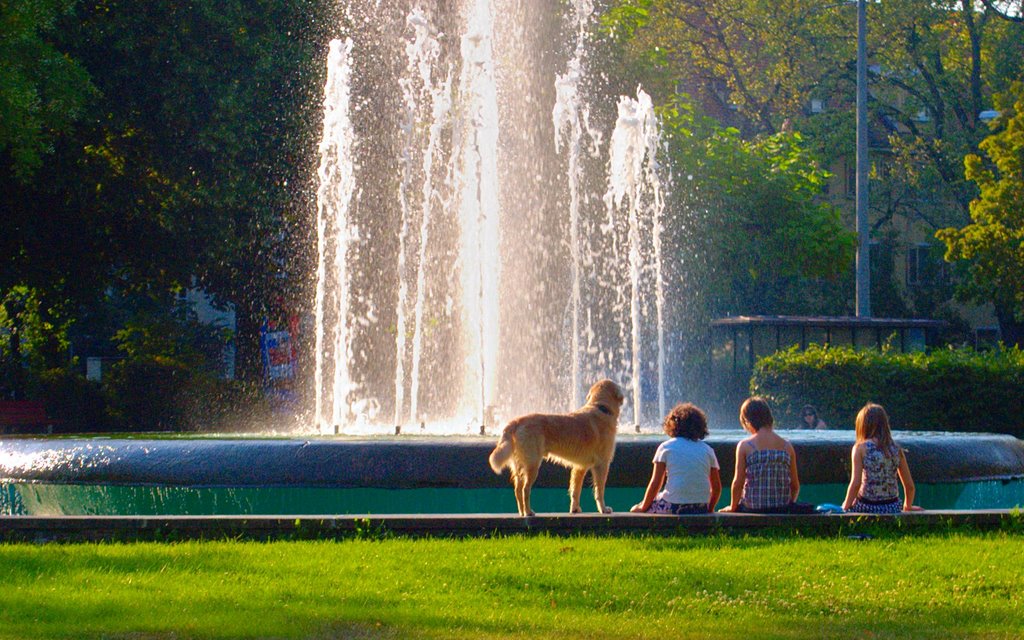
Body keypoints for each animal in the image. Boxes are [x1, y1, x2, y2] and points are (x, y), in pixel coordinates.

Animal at [487, 378, 622, 514]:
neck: (601, 408)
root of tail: (515, 422)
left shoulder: (580, 467)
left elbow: (575, 490)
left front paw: (574, 509)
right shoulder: (602, 464)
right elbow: (599, 491)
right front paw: (603, 509)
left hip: (519, 465)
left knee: (517, 490)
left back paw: (522, 512)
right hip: (532, 465)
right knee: (525, 489)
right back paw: (529, 512)